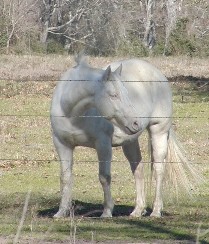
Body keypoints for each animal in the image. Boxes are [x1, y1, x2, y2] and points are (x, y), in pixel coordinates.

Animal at [50, 56, 199, 218]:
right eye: (113, 95)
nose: (136, 123)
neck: (73, 115)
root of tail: (158, 73)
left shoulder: (103, 145)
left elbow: (104, 177)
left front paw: (107, 211)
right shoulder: (62, 145)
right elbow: (65, 177)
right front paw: (61, 212)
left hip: (158, 131)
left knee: (159, 170)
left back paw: (156, 211)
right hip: (130, 142)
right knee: (138, 169)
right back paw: (138, 210)